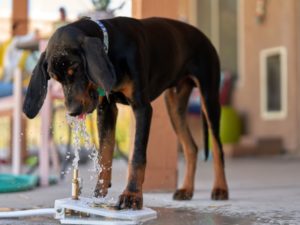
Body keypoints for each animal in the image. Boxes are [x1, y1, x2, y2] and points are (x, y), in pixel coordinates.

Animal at [23, 16, 229, 210]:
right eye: (55, 78)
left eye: (76, 69)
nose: (72, 111)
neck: (112, 50)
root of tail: (203, 36)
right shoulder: (106, 109)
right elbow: (105, 153)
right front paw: (100, 192)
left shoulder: (142, 107)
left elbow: (136, 156)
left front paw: (132, 196)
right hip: (174, 105)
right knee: (191, 147)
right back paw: (186, 189)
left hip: (209, 96)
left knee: (217, 147)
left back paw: (220, 189)